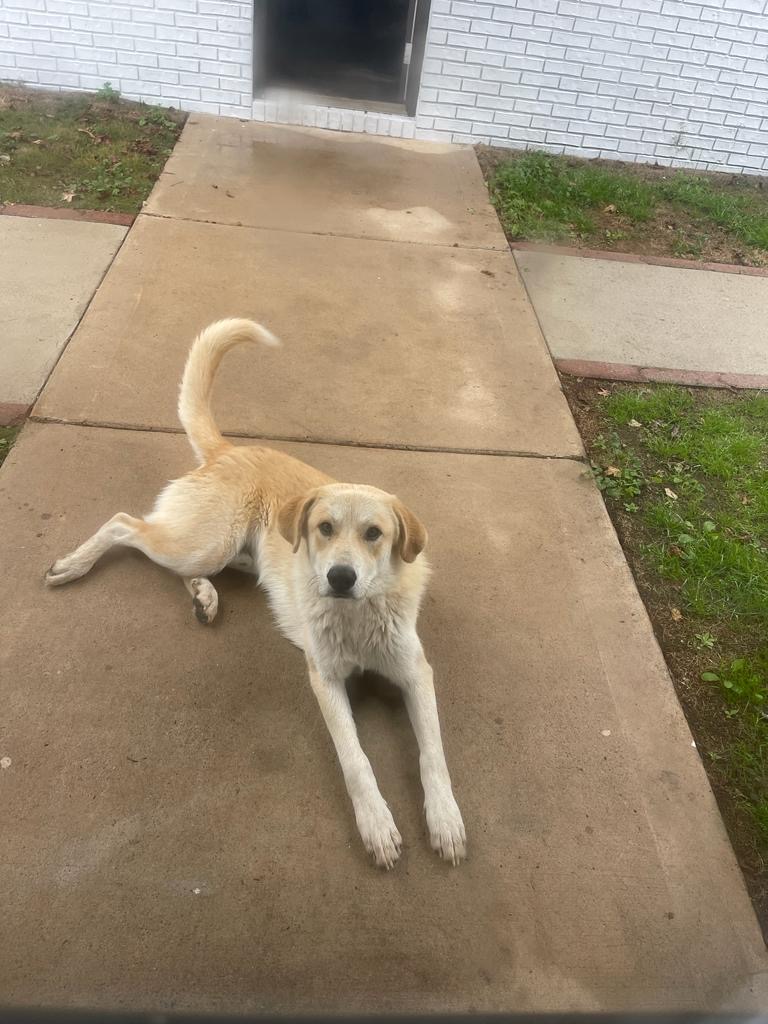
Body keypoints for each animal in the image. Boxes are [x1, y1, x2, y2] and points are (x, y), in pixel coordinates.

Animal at [45, 319, 466, 868]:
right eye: (324, 527)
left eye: (374, 534)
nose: (340, 577)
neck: (356, 618)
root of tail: (230, 449)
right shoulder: (325, 680)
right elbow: (356, 759)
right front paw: (375, 823)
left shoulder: (416, 674)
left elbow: (433, 752)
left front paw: (445, 819)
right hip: (205, 540)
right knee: (123, 524)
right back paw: (75, 565)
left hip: (227, 554)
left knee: (181, 564)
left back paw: (202, 597)